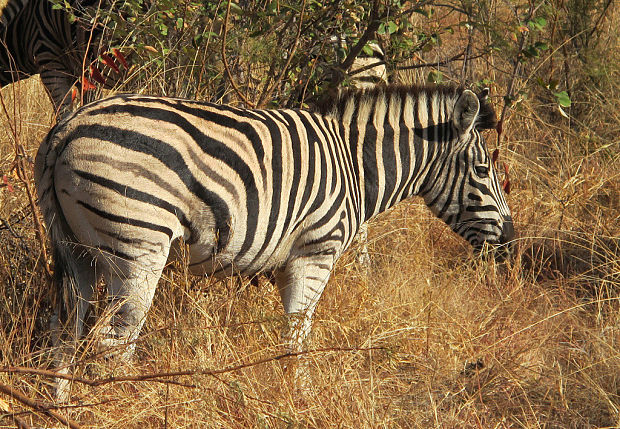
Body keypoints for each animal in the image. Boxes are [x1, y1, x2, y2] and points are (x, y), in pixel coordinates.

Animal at [36, 84, 516, 402]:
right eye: (482, 170)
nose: (510, 243)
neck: (355, 166)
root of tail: (69, 126)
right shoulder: (316, 251)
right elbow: (298, 331)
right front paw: (300, 396)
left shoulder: (287, 261)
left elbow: (291, 331)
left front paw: (291, 390)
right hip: (138, 245)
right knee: (114, 340)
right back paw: (130, 403)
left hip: (76, 249)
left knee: (65, 329)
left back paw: (64, 404)